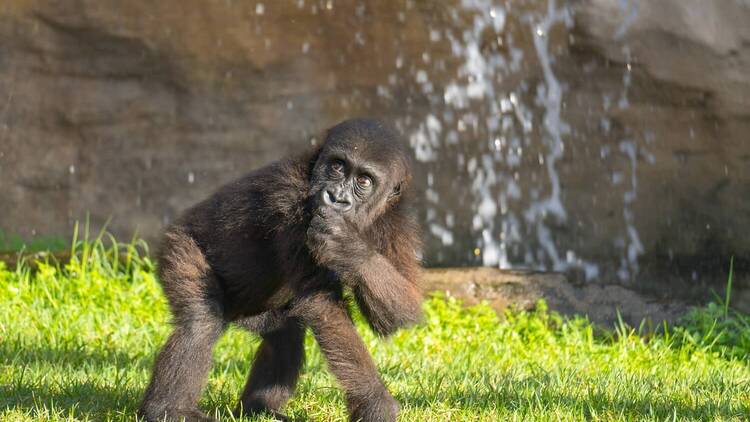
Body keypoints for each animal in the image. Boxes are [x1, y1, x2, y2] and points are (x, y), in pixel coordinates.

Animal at [140, 118, 424, 422]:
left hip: (254, 312)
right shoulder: (289, 200)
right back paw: (168, 410)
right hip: (180, 243)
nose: (336, 198)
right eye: (337, 166)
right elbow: (324, 306)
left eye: (364, 181)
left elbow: (400, 312)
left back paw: (259, 409)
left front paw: (347, 245)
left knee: (284, 335)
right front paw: (375, 402)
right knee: (201, 321)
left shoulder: (397, 223)